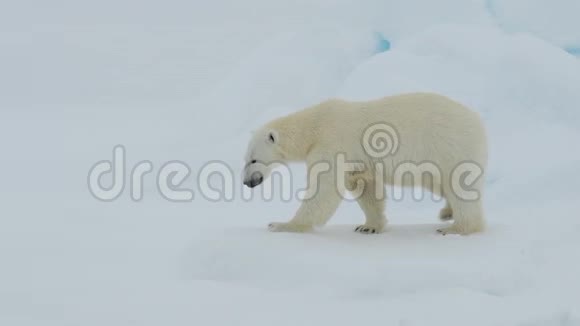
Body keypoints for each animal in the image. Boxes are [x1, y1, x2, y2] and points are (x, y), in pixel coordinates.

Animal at [242, 93, 488, 236]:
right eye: (245, 159)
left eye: (254, 160)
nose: (246, 182)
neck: (314, 126)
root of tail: (478, 121)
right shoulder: (358, 159)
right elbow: (365, 187)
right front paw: (368, 226)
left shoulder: (332, 143)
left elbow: (324, 189)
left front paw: (283, 225)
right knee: (438, 183)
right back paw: (447, 211)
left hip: (449, 146)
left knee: (459, 187)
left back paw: (456, 228)